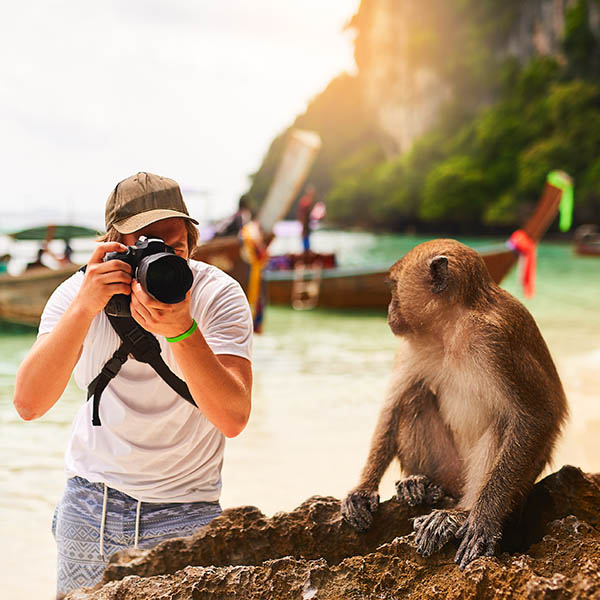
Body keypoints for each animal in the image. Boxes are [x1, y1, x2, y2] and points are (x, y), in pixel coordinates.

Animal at [342, 238, 568, 568]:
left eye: (394, 287)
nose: (389, 310)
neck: (451, 326)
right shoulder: (414, 344)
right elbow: (393, 405)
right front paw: (363, 490)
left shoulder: (496, 340)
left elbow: (538, 414)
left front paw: (482, 520)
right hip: (449, 468)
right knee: (414, 397)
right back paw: (421, 484)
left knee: (504, 423)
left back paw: (459, 514)